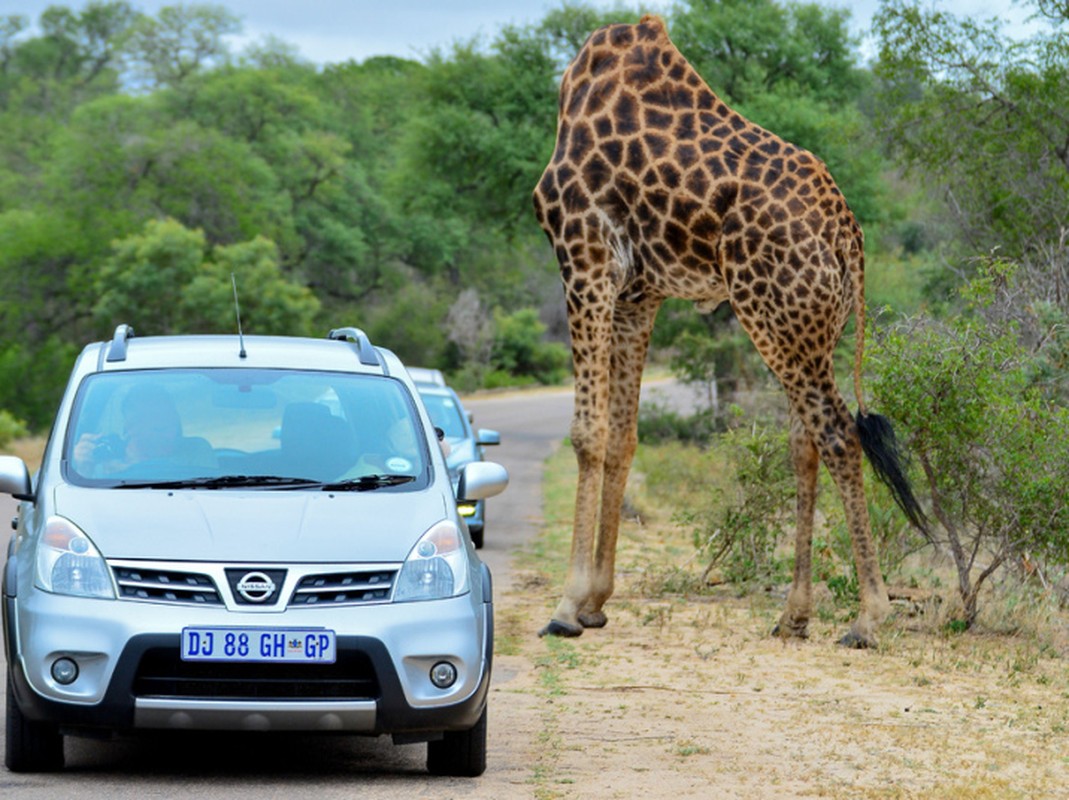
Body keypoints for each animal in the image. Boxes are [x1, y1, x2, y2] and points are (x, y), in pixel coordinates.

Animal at [530, 15, 923, 645]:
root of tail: (849, 237)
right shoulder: (639, 291)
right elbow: (624, 436)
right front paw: (595, 601)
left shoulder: (582, 249)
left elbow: (588, 433)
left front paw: (567, 607)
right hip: (808, 331)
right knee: (805, 443)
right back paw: (794, 614)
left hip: (774, 317)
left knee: (839, 434)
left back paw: (867, 615)